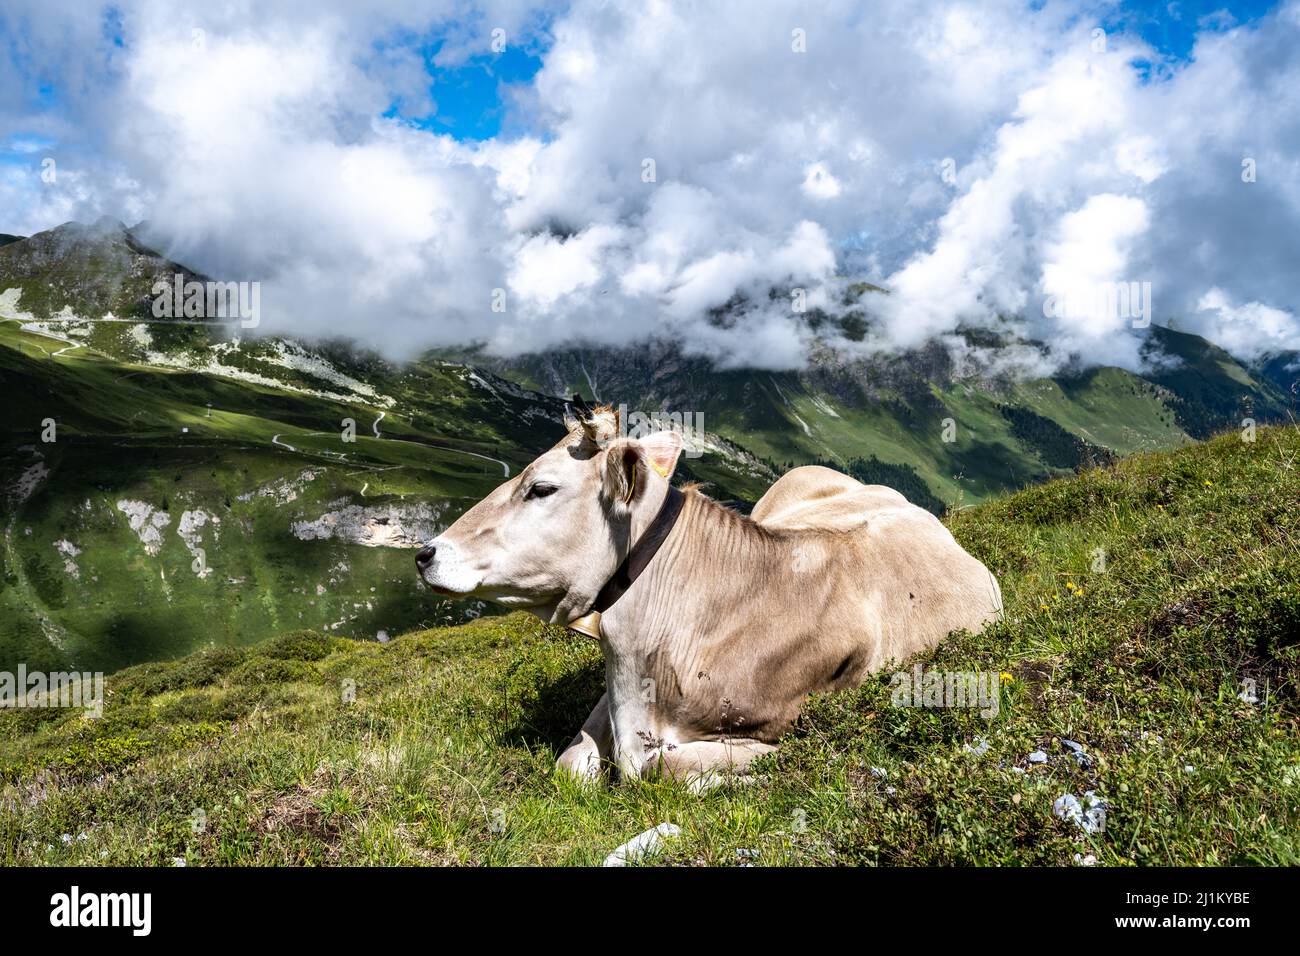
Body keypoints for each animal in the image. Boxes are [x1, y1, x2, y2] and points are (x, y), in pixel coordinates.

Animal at [416, 402, 1002, 786]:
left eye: (541, 487)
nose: (425, 553)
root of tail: (914, 508)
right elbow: (572, 765)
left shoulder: (789, 728)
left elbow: (667, 765)